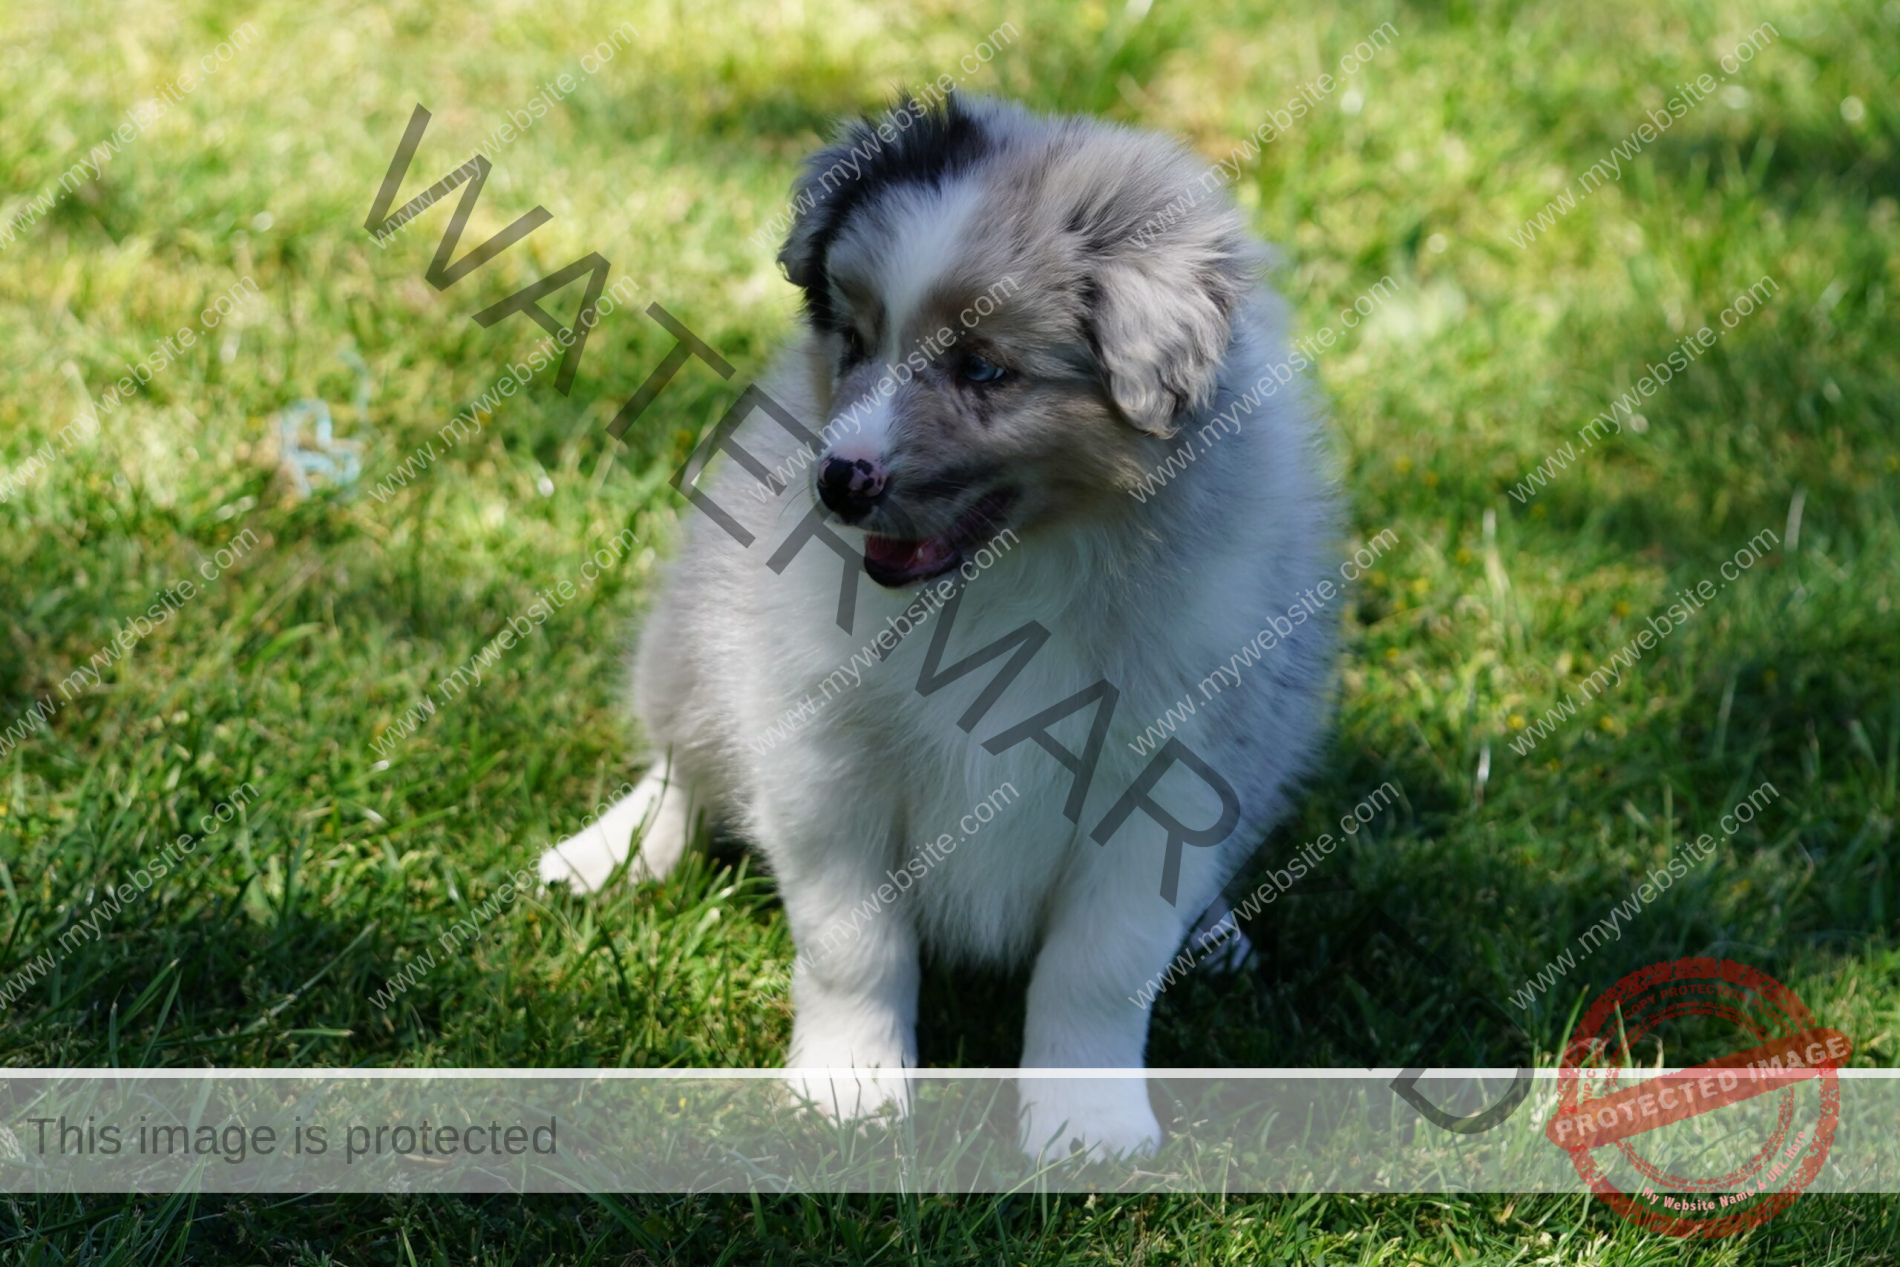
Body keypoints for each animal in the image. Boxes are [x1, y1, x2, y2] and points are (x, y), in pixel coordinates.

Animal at [535, 91, 1337, 1162]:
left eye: (986, 369)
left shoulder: (1164, 777)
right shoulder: (825, 755)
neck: (1006, 573)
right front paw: (847, 1092)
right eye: (855, 340)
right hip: (694, 643)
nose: (837, 482)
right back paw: (604, 855)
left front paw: (1087, 1128)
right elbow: (853, 943)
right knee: (680, 764)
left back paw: (1214, 931)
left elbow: (1101, 964)